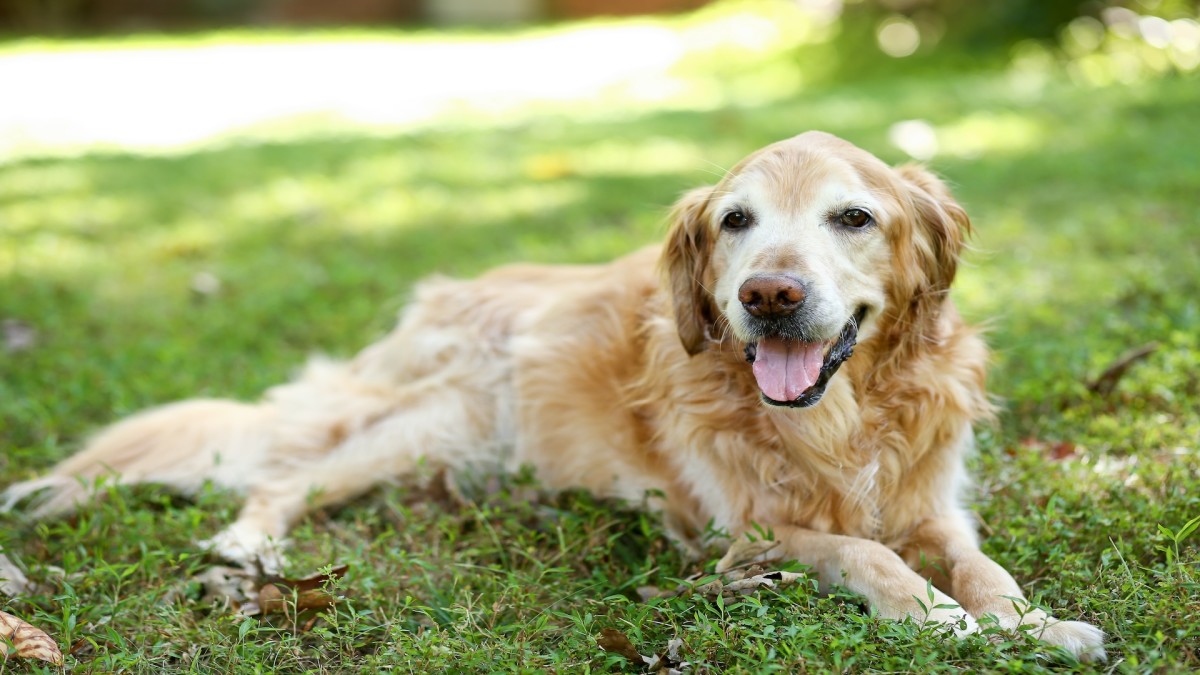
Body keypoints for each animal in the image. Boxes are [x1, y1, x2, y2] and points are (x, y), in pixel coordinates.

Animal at [0, 130, 1104, 658]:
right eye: (736, 220)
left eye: (854, 218)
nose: (769, 296)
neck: (837, 422)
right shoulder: (749, 532)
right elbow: (865, 552)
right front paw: (936, 617)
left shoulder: (936, 502)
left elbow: (982, 565)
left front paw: (1031, 624)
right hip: (425, 424)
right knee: (283, 478)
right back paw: (245, 548)